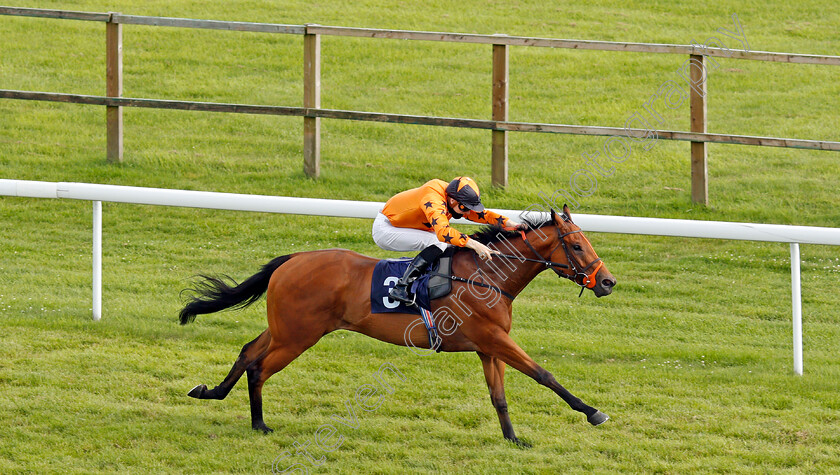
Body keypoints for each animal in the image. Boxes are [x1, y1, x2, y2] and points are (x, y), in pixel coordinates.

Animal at [179, 206, 616, 448]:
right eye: (577, 246)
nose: (608, 282)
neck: (486, 275)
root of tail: (294, 258)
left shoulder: (488, 346)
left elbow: (499, 397)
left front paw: (512, 438)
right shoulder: (494, 338)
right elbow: (544, 374)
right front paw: (593, 412)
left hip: (285, 328)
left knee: (247, 351)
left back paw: (210, 392)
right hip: (298, 336)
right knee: (258, 368)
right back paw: (259, 423)